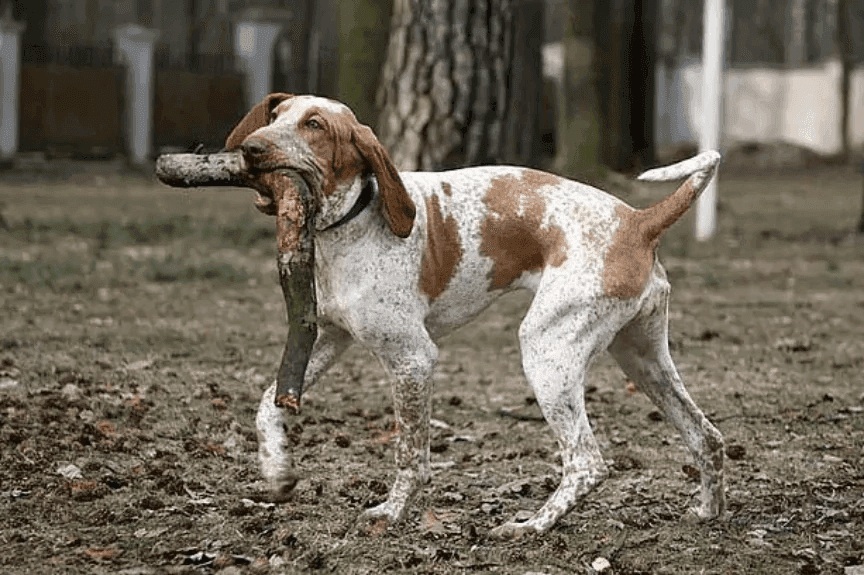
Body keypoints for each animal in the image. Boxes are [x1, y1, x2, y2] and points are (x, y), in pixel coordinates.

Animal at [226, 92, 724, 536]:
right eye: (276, 115)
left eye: (314, 124)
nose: (251, 148)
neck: (353, 221)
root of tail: (638, 221)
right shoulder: (327, 338)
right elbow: (266, 404)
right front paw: (277, 470)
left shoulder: (413, 360)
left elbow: (410, 455)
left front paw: (392, 514)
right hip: (642, 359)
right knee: (707, 437)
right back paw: (707, 512)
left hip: (547, 352)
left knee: (587, 463)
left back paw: (531, 527)